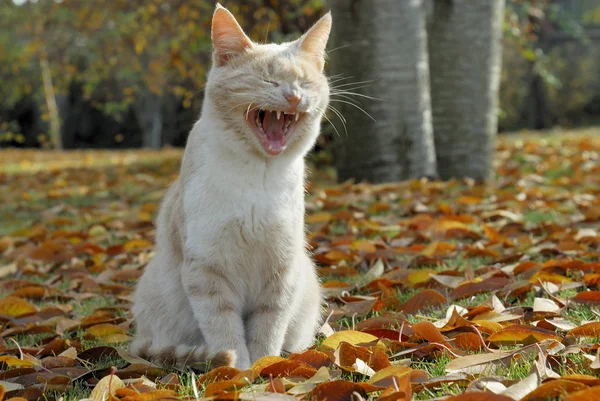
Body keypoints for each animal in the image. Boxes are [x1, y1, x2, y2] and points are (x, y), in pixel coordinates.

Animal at [129, 5, 332, 368]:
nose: (294, 96)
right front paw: (239, 370)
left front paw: (265, 367)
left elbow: (269, 327)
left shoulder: (281, 269)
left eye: (303, 82)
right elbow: (224, 330)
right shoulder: (207, 271)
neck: (258, 177)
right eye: (268, 79)